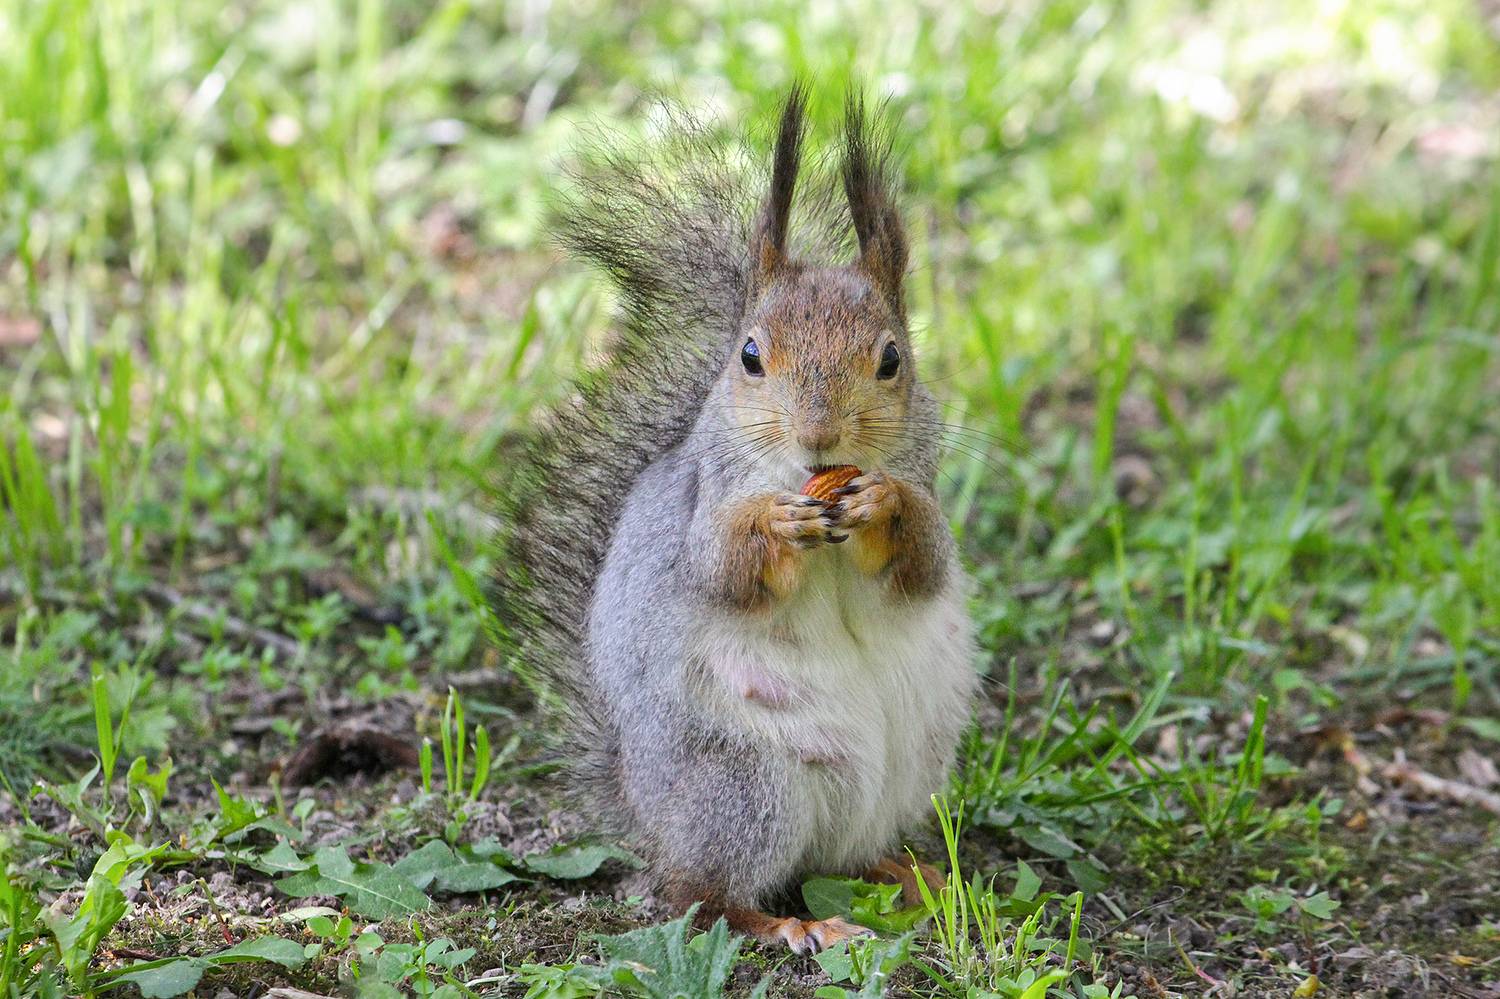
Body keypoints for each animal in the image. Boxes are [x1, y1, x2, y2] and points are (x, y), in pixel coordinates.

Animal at [490, 86, 977, 954]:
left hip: (895, 778)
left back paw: (915, 875)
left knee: (843, 859)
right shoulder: (703, 505)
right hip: (743, 786)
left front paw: (881, 503)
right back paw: (789, 922)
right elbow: (720, 567)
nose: (819, 435)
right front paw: (777, 522)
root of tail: (647, 815)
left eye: (892, 359)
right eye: (750, 356)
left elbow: (924, 558)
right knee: (700, 896)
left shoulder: (929, 493)